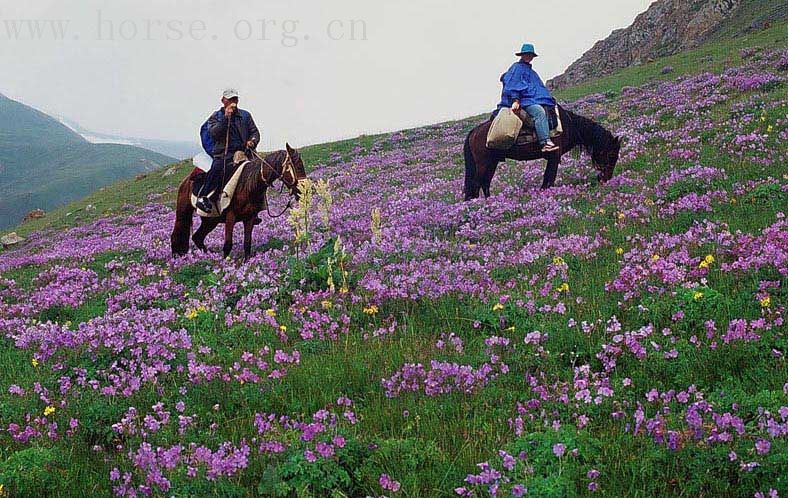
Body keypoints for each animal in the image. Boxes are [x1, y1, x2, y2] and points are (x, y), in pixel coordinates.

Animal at [171, 143, 306, 258]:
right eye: (298, 166)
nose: (303, 191)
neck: (248, 185)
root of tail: (186, 181)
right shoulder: (230, 217)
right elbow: (228, 245)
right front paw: (225, 264)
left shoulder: (249, 218)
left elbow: (247, 244)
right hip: (184, 213)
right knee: (177, 235)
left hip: (210, 220)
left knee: (197, 237)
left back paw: (209, 256)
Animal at [462, 105, 620, 200]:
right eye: (612, 155)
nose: (606, 179)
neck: (569, 126)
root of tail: (473, 132)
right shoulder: (554, 157)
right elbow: (549, 178)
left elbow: (548, 178)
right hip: (484, 163)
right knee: (476, 184)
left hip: (492, 163)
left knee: (485, 183)